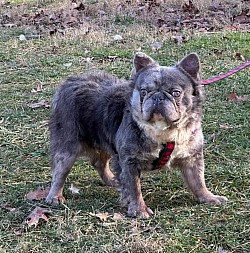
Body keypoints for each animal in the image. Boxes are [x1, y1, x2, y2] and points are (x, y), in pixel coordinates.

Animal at [46, 52, 228, 217]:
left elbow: (198, 181)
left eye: (176, 93)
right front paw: (139, 210)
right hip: (68, 147)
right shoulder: (130, 161)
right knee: (60, 172)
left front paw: (208, 197)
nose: (157, 97)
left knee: (99, 162)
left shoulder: (192, 158)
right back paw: (55, 196)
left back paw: (112, 180)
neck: (164, 131)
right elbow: (134, 188)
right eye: (144, 91)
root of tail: (70, 82)